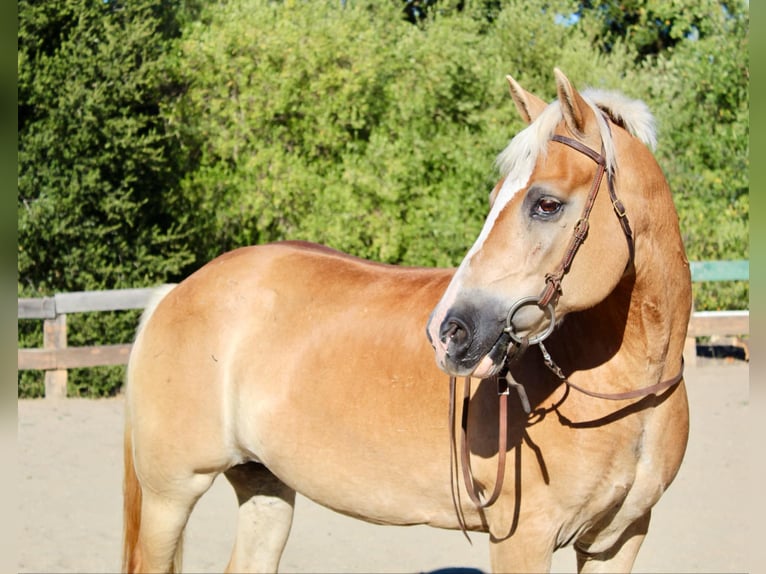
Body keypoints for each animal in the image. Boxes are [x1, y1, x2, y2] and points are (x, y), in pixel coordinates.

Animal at [123, 70, 692, 572]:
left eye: (546, 204)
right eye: (494, 200)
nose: (448, 331)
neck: (625, 399)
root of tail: (178, 291)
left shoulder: (619, 539)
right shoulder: (523, 540)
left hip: (263, 484)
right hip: (171, 494)